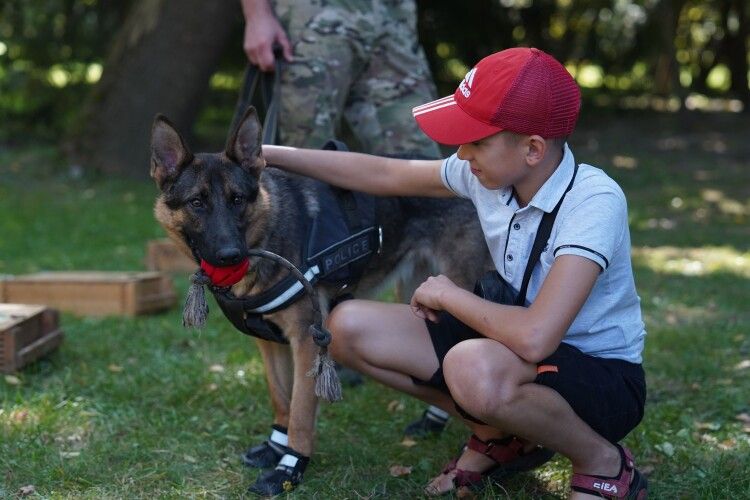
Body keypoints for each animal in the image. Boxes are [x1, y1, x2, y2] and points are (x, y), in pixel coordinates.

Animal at [152, 107, 494, 494]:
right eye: (197, 203)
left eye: (237, 199)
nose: (230, 255)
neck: (269, 233)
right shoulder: (270, 345)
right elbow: (281, 401)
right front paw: (274, 447)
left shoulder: (306, 341)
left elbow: (301, 413)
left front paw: (289, 469)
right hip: (415, 297)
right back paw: (433, 422)